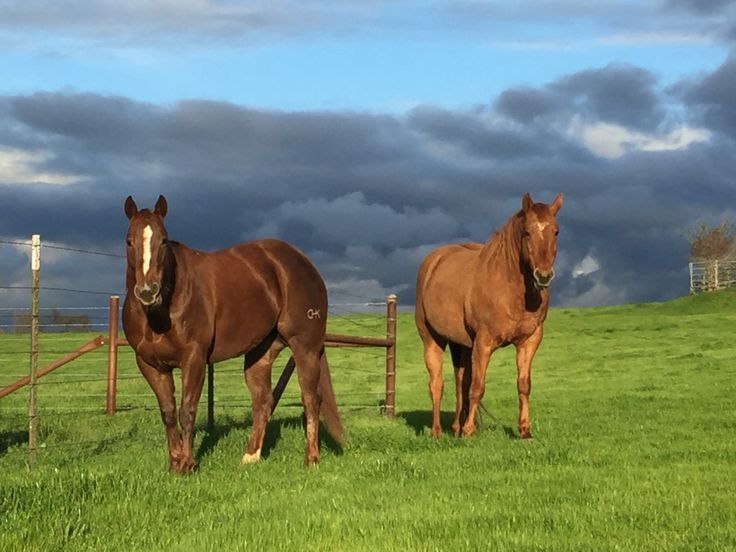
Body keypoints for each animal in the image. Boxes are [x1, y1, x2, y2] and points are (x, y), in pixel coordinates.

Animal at [122, 195, 344, 473]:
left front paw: (187, 464)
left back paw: (311, 459)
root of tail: (303, 261)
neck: (163, 310)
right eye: (129, 241)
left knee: (311, 398)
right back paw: (250, 456)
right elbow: (168, 412)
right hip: (261, 352)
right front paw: (174, 464)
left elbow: (187, 410)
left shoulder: (194, 359)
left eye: (163, 240)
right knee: (263, 401)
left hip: (305, 346)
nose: (147, 292)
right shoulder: (150, 364)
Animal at [415, 192, 562, 439]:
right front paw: (468, 431)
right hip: (433, 340)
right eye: (527, 232)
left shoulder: (529, 341)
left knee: (459, 383)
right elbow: (477, 388)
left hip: (462, 345)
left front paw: (525, 431)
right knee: (436, 384)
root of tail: (434, 260)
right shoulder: (483, 343)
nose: (543, 276)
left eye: (556, 231)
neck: (510, 289)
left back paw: (455, 428)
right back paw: (437, 432)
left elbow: (523, 385)